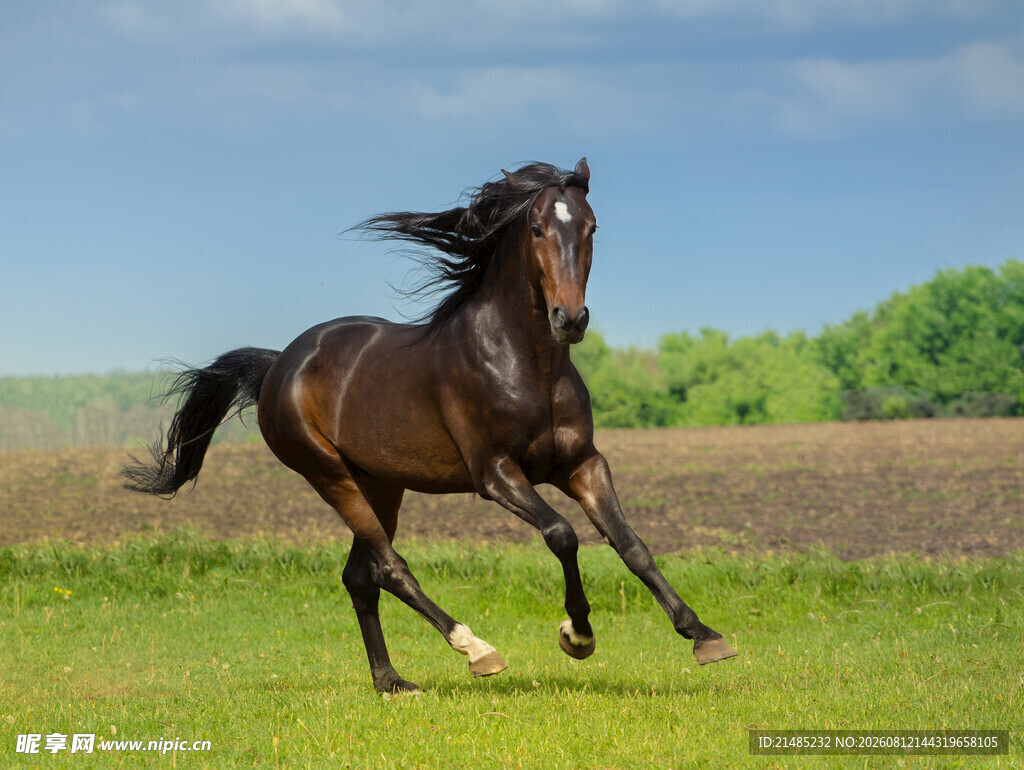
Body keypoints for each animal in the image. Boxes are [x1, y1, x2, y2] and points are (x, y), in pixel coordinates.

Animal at [123, 158, 736, 693]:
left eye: (591, 227)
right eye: (537, 227)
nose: (571, 319)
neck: (525, 364)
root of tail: (279, 364)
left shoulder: (583, 464)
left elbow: (631, 544)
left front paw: (704, 636)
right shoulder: (495, 474)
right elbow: (563, 534)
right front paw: (577, 636)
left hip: (381, 485)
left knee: (360, 577)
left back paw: (391, 682)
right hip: (329, 475)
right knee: (391, 568)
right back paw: (476, 650)